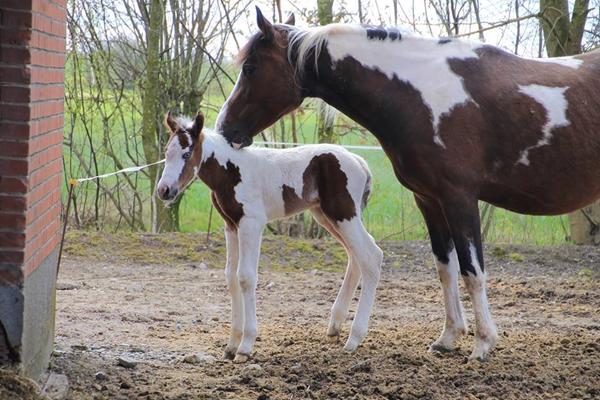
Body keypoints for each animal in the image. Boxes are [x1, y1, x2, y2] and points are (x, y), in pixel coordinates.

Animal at [157, 110, 382, 362]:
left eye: (187, 153)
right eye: (166, 151)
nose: (164, 190)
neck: (231, 172)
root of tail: (360, 162)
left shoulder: (251, 224)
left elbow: (246, 277)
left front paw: (245, 346)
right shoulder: (231, 226)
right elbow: (231, 277)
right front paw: (231, 345)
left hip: (343, 215)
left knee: (371, 257)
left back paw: (354, 338)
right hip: (327, 217)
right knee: (355, 256)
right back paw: (336, 326)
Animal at [217, 8, 600, 360]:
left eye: (250, 67)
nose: (225, 128)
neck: (421, 94)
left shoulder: (460, 199)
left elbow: (473, 271)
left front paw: (482, 343)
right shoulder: (429, 200)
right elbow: (445, 269)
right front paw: (448, 337)